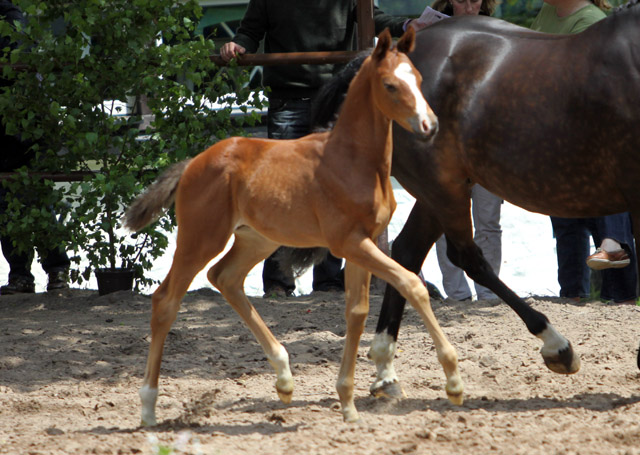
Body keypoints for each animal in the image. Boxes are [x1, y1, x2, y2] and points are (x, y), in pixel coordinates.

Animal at [124, 29, 460, 428]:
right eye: (390, 85)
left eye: (420, 80)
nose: (430, 125)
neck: (353, 161)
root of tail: (192, 163)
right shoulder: (349, 242)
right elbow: (412, 284)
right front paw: (453, 380)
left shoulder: (359, 245)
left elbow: (356, 312)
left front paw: (347, 403)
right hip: (200, 239)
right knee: (166, 301)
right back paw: (147, 407)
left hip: (257, 239)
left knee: (225, 278)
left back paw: (284, 379)